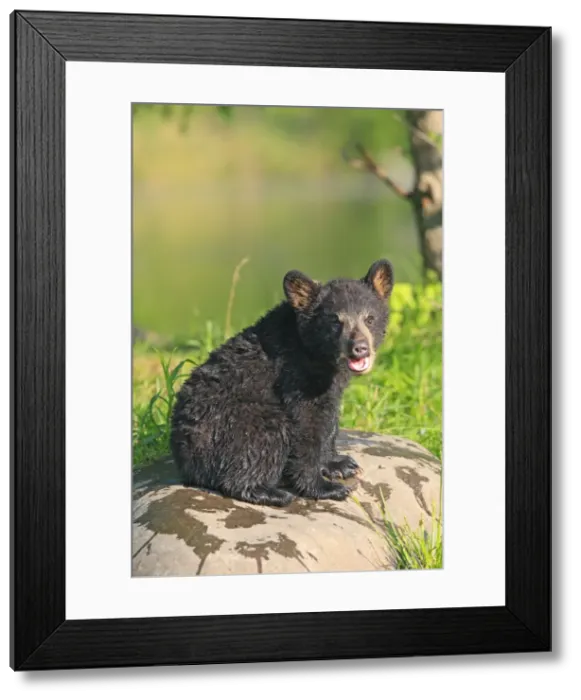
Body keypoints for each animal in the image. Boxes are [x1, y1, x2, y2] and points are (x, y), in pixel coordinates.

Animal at [170, 259, 394, 508]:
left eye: (370, 318)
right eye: (335, 321)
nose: (359, 348)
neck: (315, 353)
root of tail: (185, 459)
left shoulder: (329, 385)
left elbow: (329, 420)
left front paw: (339, 464)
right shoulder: (294, 378)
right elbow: (307, 426)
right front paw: (324, 487)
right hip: (235, 426)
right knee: (262, 442)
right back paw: (270, 492)